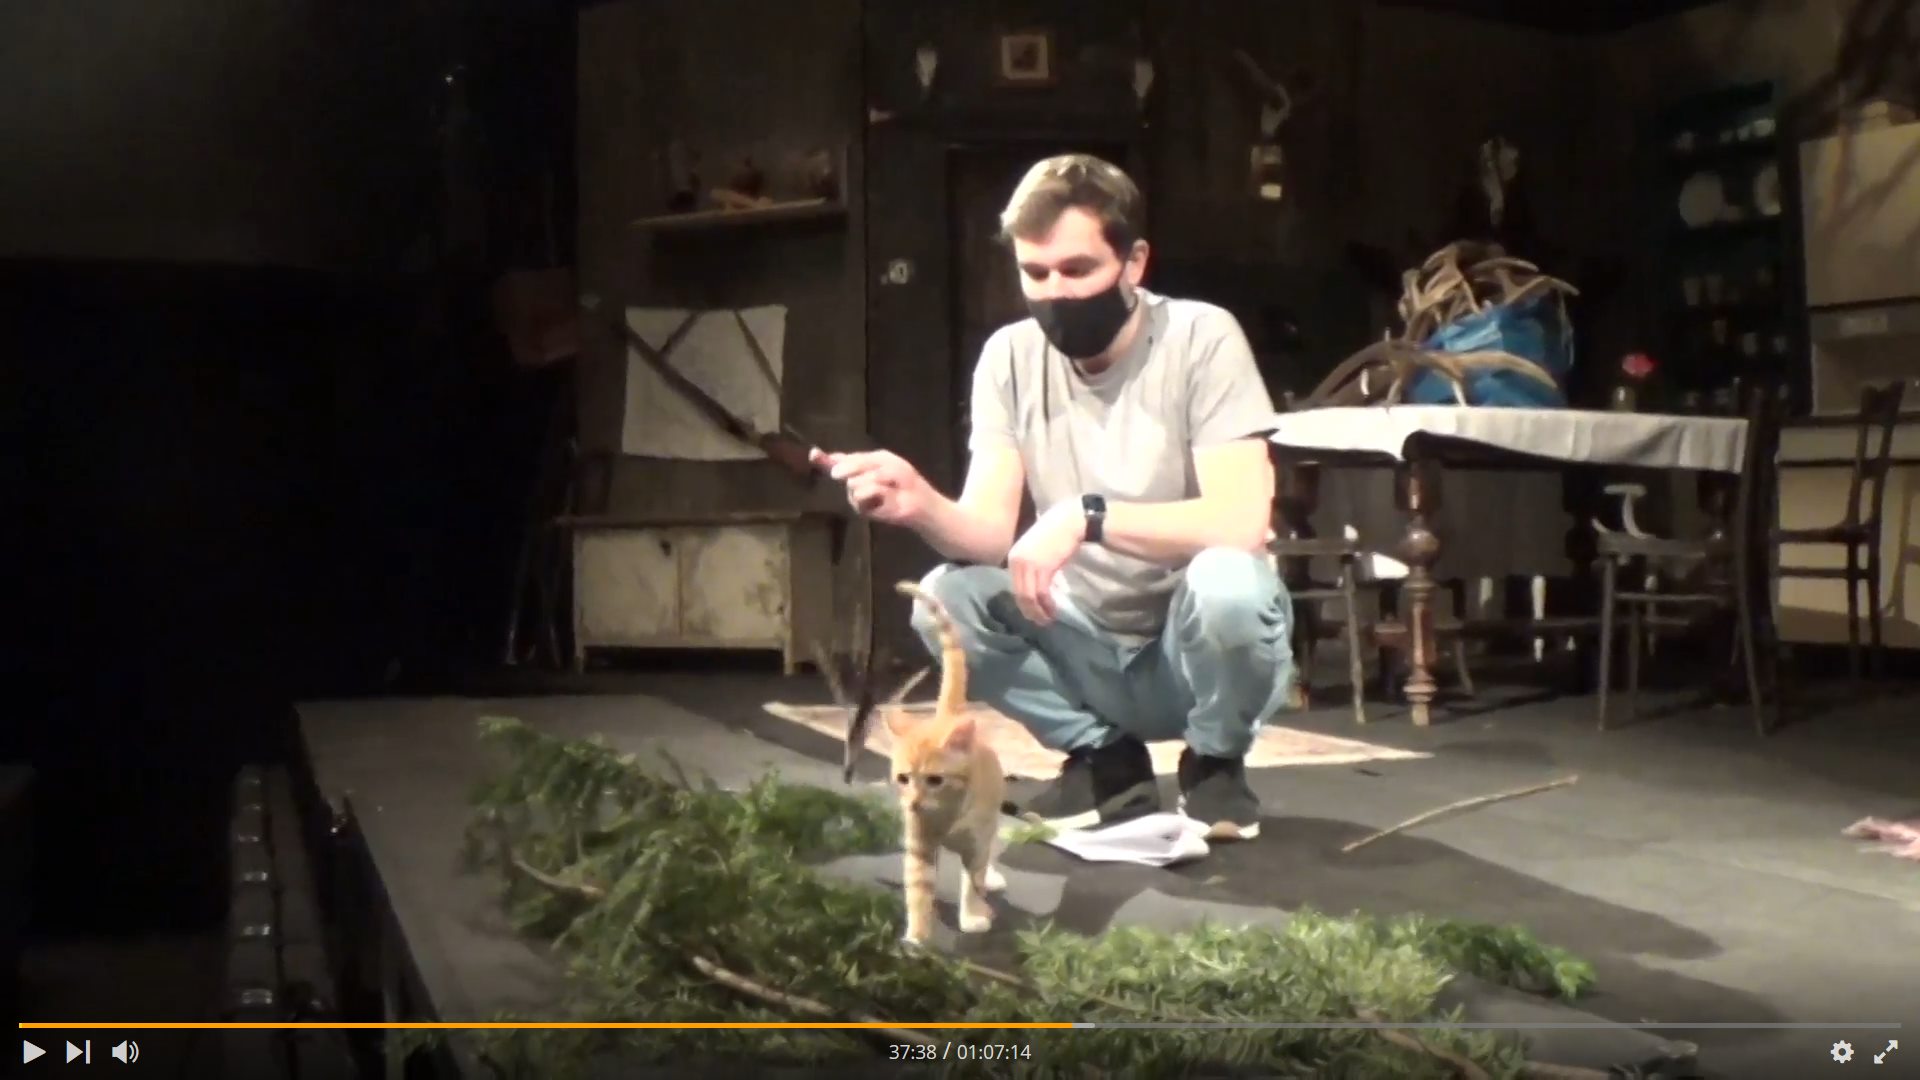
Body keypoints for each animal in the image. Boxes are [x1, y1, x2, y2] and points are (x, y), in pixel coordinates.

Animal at [887, 579, 1007, 947]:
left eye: (935, 780)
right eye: (903, 779)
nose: (913, 803)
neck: (947, 815)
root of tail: (947, 716)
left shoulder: (977, 844)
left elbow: (973, 881)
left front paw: (972, 916)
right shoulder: (920, 846)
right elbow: (918, 890)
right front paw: (917, 936)